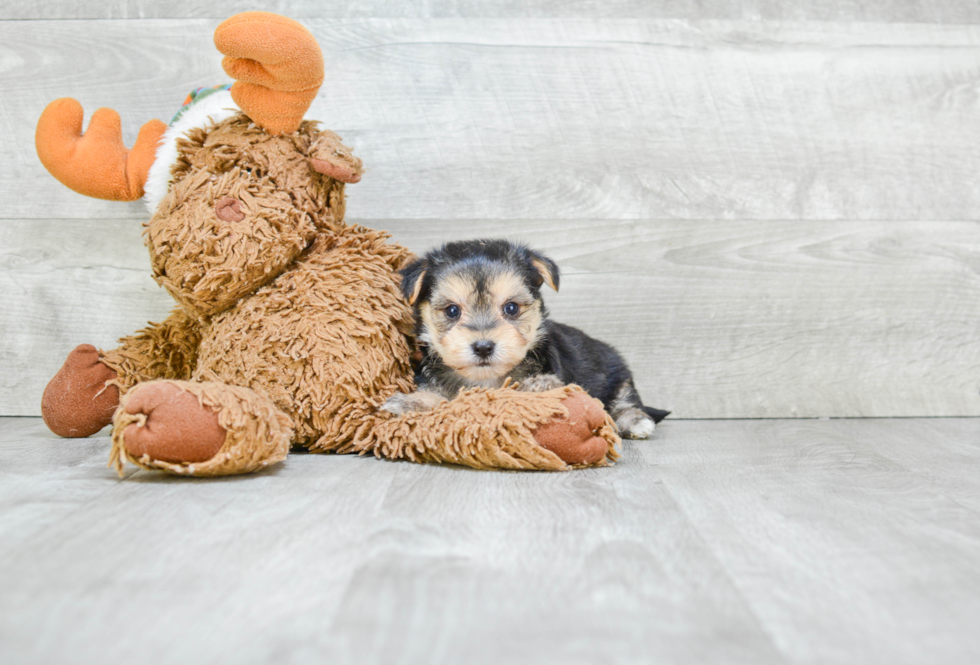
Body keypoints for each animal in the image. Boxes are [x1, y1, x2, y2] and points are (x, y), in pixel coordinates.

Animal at [378, 239, 668, 436]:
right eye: (452, 311)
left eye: (511, 308)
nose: (483, 347)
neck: (486, 380)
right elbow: (435, 394)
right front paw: (409, 402)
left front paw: (537, 387)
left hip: (616, 372)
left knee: (623, 400)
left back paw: (635, 421)